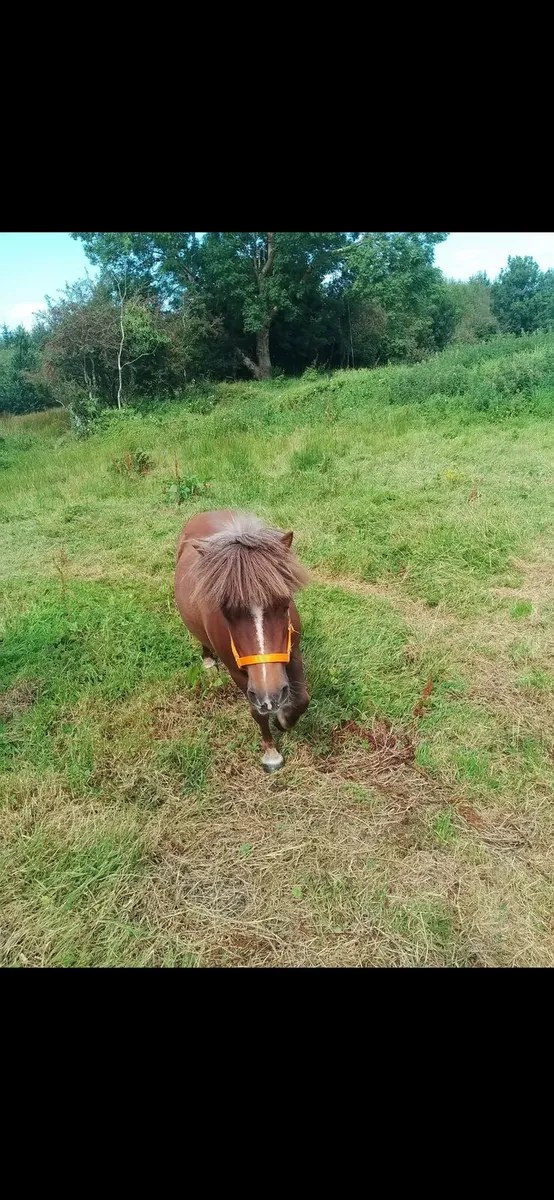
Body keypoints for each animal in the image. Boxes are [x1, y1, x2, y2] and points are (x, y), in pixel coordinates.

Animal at [174, 510, 311, 772]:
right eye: (226, 612)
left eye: (284, 604)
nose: (271, 696)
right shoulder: (239, 674)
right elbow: (257, 712)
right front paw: (271, 753)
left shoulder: (293, 652)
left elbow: (302, 699)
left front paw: (283, 718)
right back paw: (208, 662)